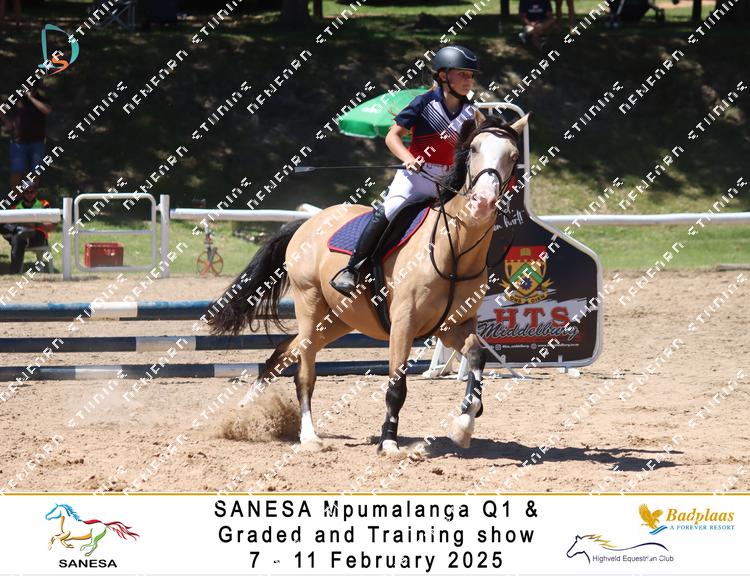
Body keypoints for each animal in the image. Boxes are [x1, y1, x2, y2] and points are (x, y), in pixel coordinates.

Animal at [208, 109, 529, 456]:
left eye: (513, 156)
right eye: (474, 149)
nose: (483, 202)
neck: (454, 248)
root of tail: (309, 222)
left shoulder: (454, 325)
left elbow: (477, 358)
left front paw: (464, 426)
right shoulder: (404, 323)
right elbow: (397, 385)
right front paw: (388, 441)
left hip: (338, 320)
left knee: (285, 350)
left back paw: (246, 408)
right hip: (310, 304)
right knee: (305, 372)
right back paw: (309, 437)